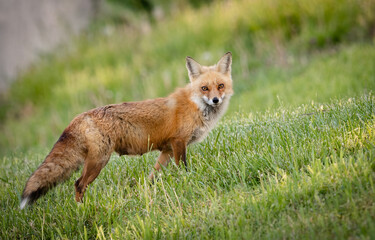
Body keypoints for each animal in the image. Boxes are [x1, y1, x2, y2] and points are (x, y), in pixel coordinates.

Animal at [20, 52, 234, 208]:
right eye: (205, 88)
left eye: (220, 86)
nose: (215, 100)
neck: (196, 105)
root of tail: (80, 116)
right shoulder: (178, 142)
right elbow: (184, 168)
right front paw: (187, 181)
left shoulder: (167, 149)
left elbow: (152, 176)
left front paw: (148, 192)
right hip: (98, 161)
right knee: (78, 184)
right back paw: (81, 209)